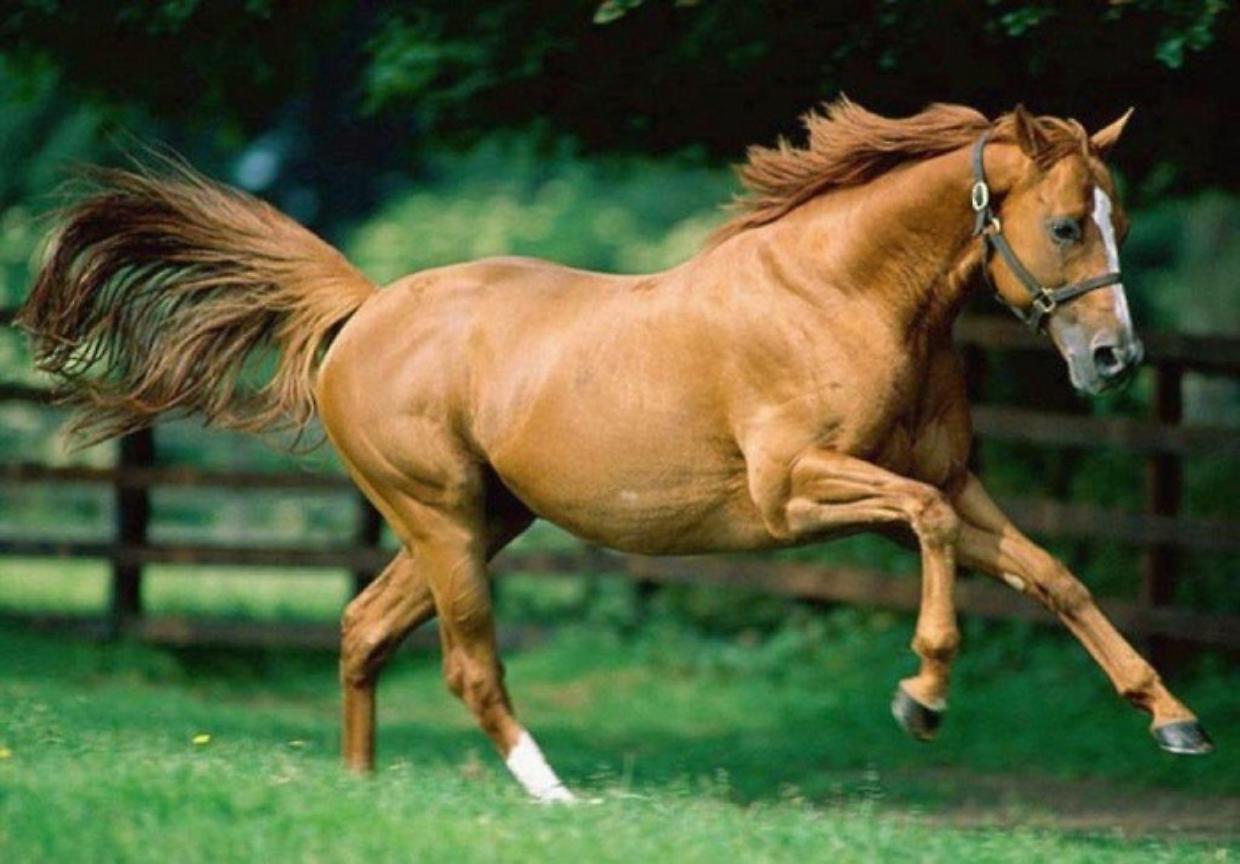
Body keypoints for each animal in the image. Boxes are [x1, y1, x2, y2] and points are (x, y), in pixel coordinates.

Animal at [17, 99, 1214, 803]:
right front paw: (920, 696)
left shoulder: (952, 482)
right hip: (442, 518)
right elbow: (928, 538)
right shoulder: (799, 495)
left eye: (1117, 217)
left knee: (362, 628)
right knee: (466, 663)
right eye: (1066, 225)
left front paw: (1175, 722)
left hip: (484, 518)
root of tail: (365, 309)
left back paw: (361, 792)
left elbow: (1056, 577)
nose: (1113, 358)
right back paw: (555, 797)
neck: (842, 296)